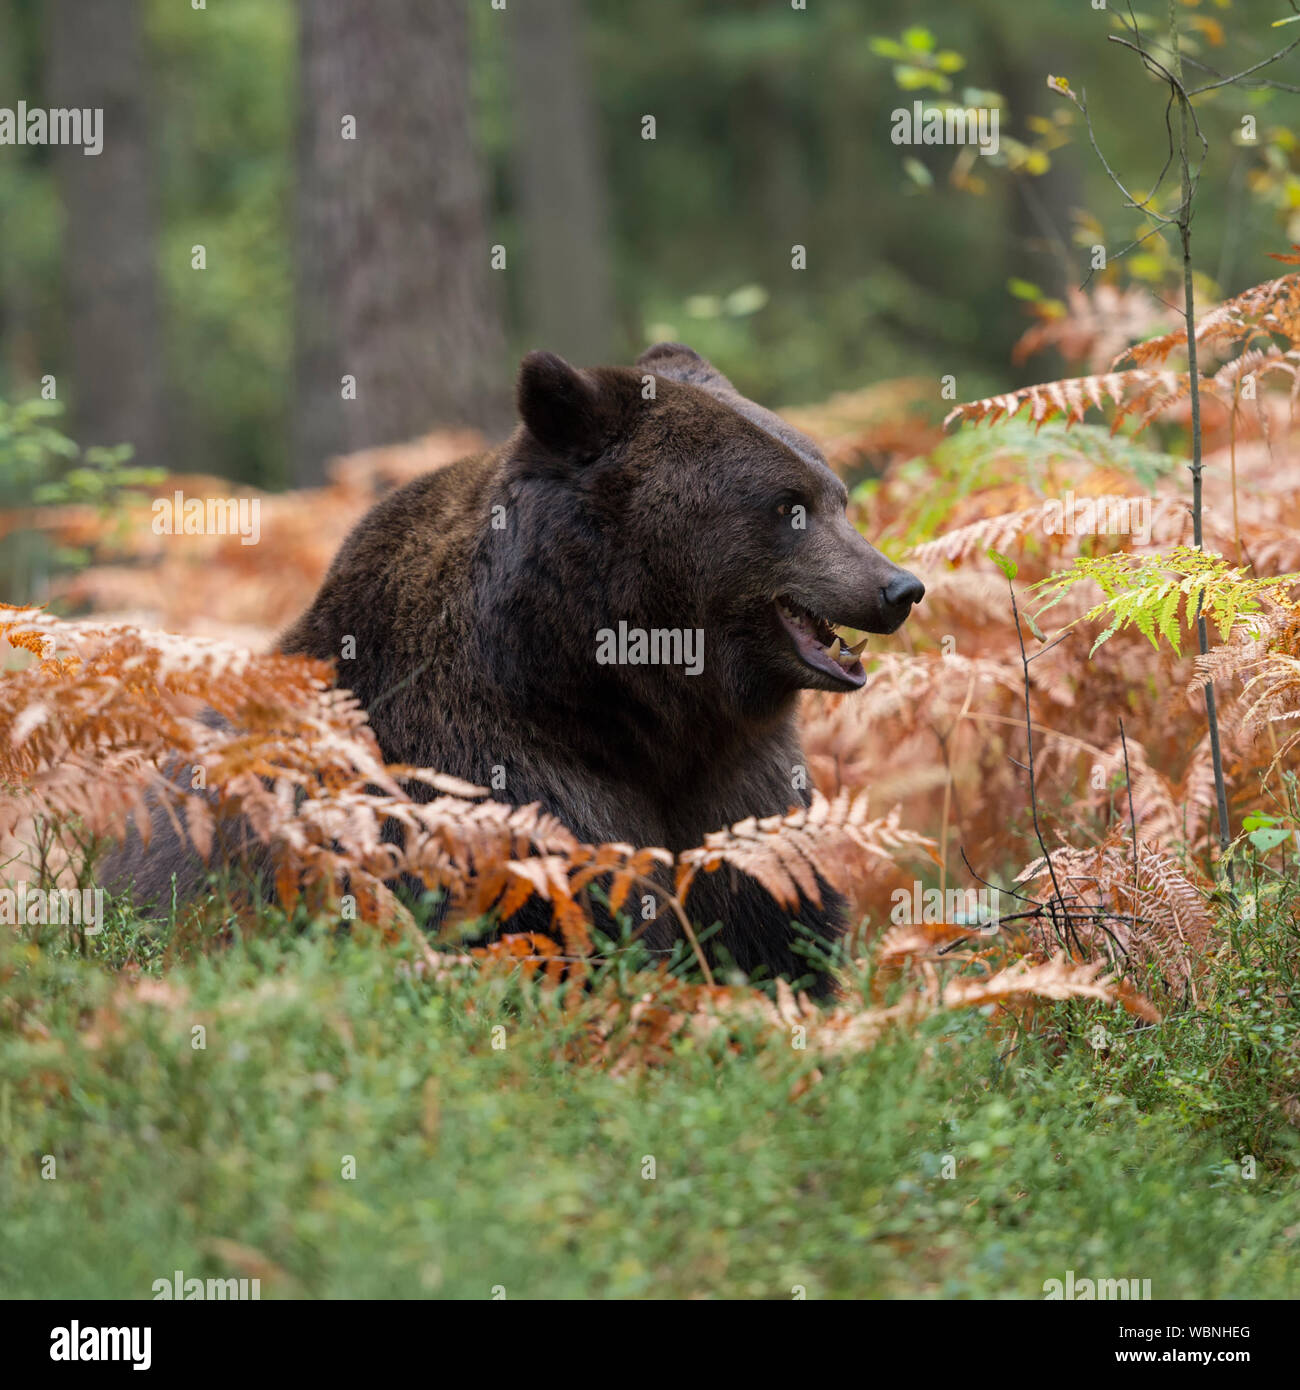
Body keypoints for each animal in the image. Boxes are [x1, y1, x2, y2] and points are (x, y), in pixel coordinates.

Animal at [269, 347, 923, 1000]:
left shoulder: (739, 782)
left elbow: (770, 918)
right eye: (789, 505)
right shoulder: (499, 775)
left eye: (837, 497)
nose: (899, 588)